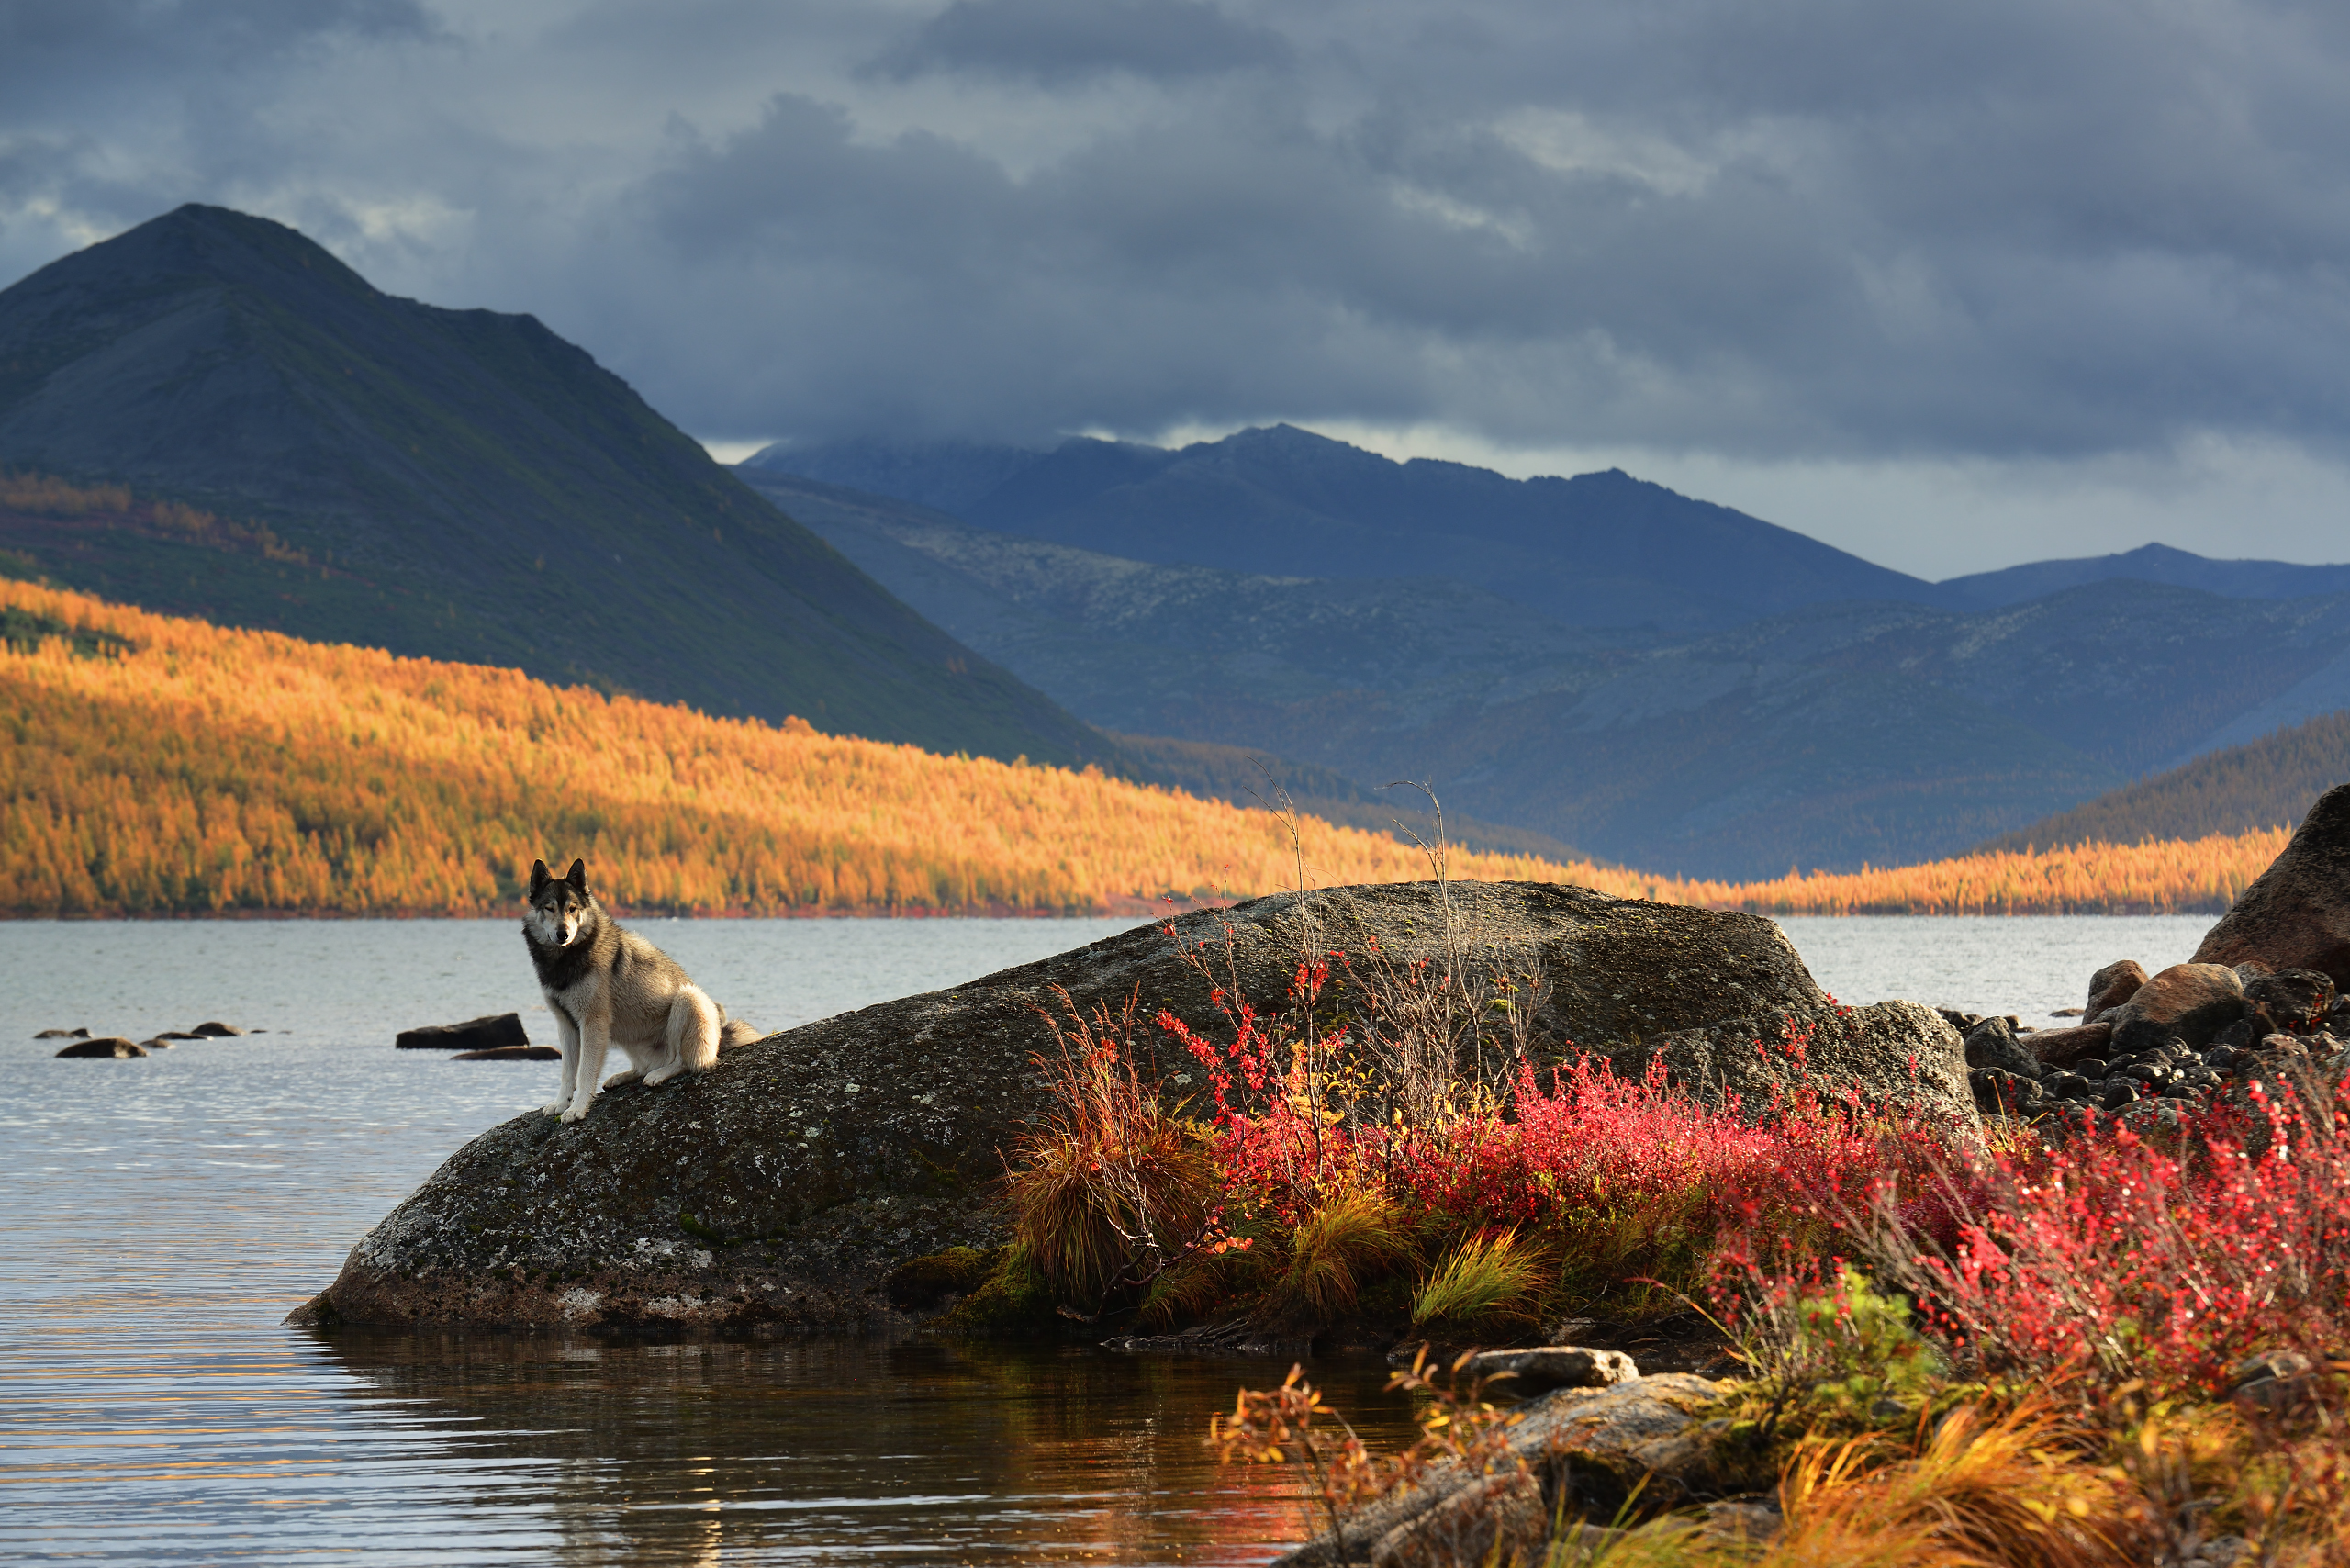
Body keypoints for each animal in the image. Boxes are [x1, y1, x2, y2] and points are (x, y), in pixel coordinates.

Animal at [526, 860, 761, 1128]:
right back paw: (622, 1076)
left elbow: (585, 1072)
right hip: (625, 1034)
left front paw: (577, 1109)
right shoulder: (565, 1023)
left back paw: (659, 1074)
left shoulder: (592, 1022)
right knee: (641, 1067)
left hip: (688, 999)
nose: (563, 934)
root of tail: (720, 1037)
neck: (565, 959)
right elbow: (567, 1072)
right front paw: (560, 1104)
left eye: (573, 909)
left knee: (682, 1061)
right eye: (549, 908)